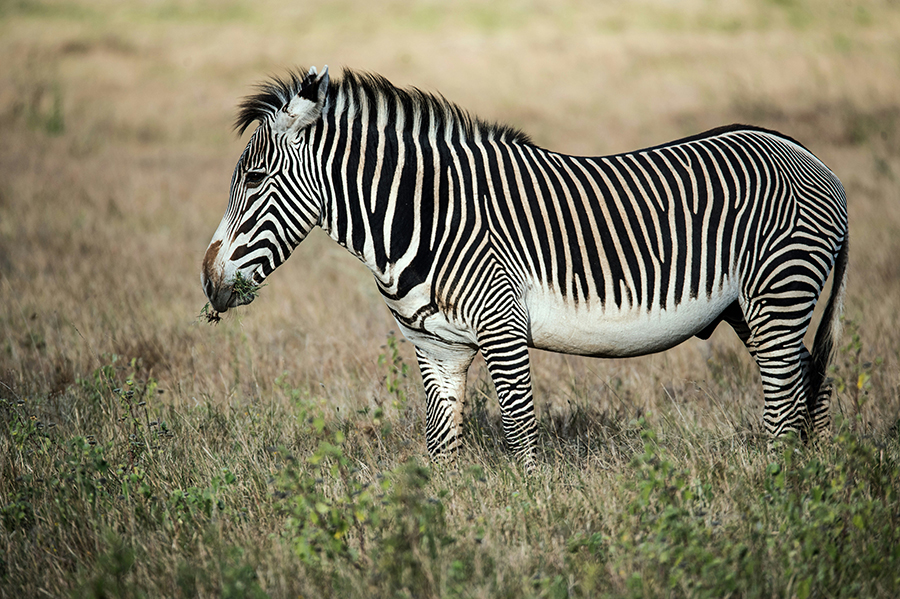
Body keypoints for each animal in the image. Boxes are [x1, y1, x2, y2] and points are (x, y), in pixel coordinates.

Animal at [200, 68, 848, 466]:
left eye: (253, 179)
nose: (208, 282)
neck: (423, 216)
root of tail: (804, 153)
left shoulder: (502, 325)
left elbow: (520, 432)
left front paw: (535, 512)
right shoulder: (435, 346)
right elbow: (442, 447)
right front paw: (439, 528)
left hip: (779, 294)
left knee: (784, 398)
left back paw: (775, 484)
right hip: (752, 308)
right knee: (808, 384)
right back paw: (807, 479)